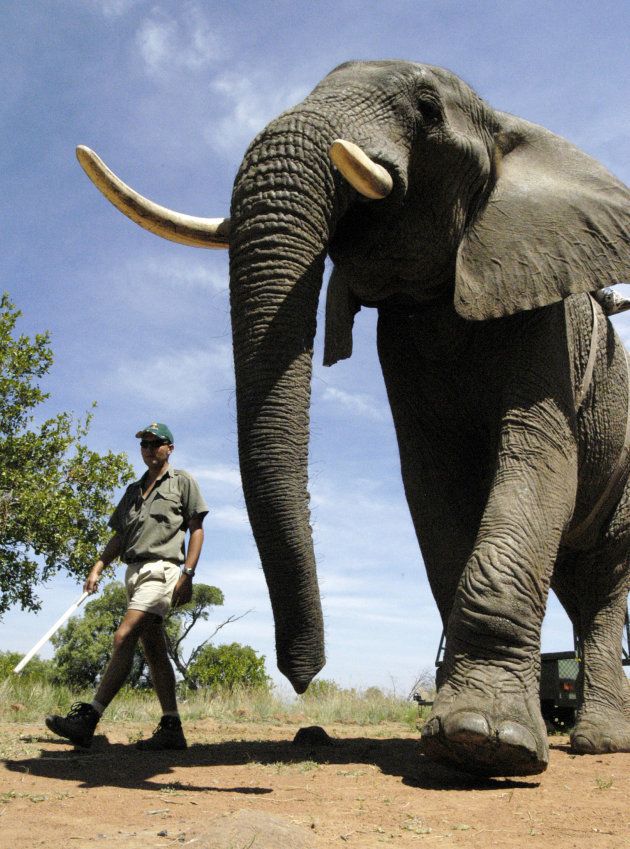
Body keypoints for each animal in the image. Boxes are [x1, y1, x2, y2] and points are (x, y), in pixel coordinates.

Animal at [76, 59, 628, 776]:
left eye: (427, 108)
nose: (303, 675)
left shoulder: (546, 316)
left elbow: (535, 463)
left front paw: (486, 740)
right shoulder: (405, 344)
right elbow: (435, 494)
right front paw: (465, 738)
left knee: (605, 580)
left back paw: (600, 741)